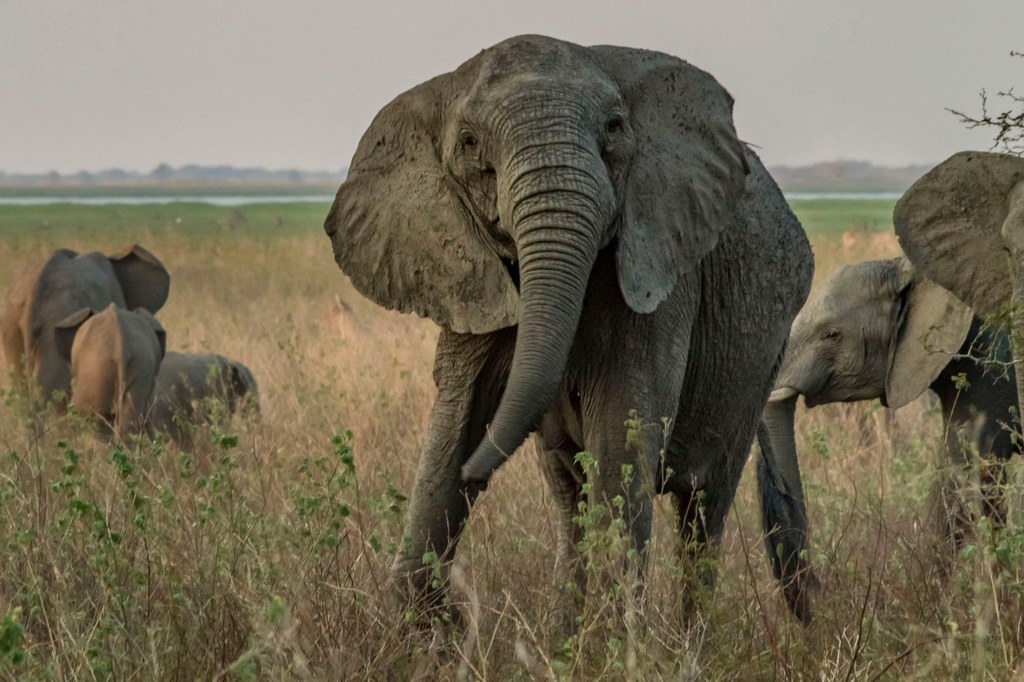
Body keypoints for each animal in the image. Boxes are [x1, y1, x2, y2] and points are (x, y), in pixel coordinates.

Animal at [323, 33, 811, 626]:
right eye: (468, 143)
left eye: (615, 128)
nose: (474, 475)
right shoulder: (470, 272)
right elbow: (458, 412)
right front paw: (422, 632)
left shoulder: (658, 263)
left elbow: (623, 424)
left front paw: (611, 639)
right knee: (569, 493)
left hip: (762, 354)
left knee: (703, 508)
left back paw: (687, 640)